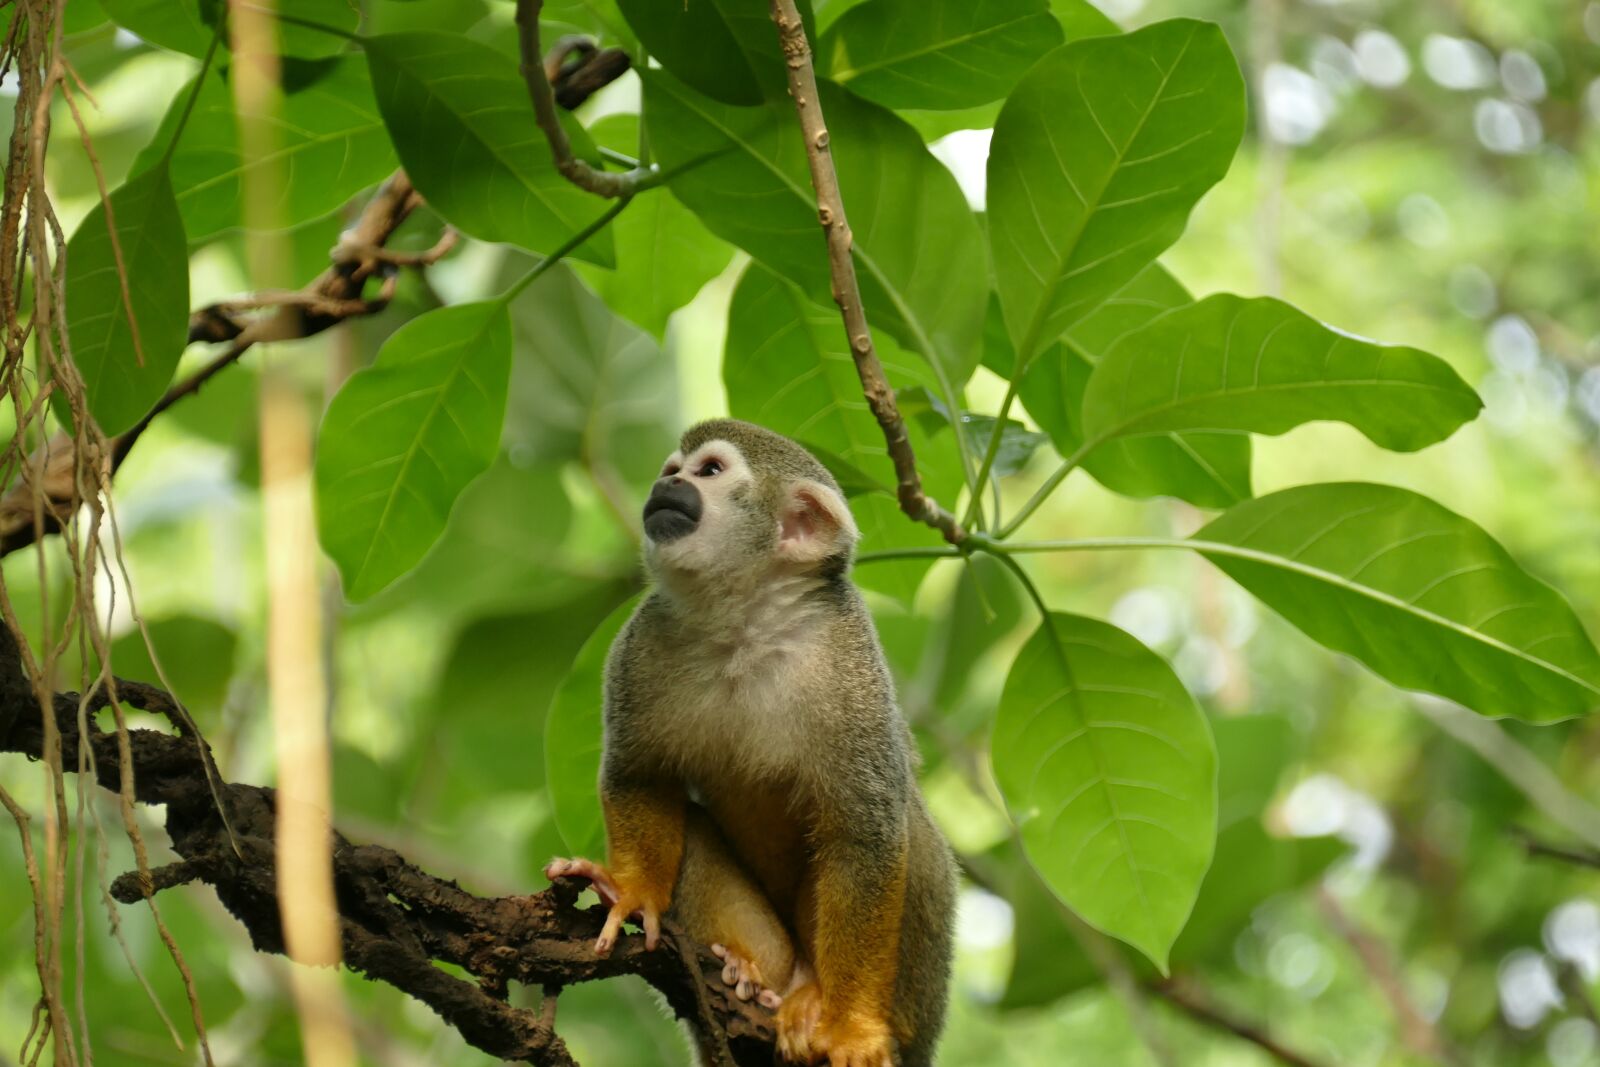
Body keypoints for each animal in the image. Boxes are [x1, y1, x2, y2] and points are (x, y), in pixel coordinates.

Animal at [544, 418, 957, 1067]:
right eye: (672, 470)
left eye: (709, 471)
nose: (668, 486)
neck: (747, 622)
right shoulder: (642, 643)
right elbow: (640, 776)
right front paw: (632, 892)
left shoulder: (850, 660)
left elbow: (865, 834)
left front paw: (854, 1028)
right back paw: (752, 974)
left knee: (908, 829)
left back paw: (824, 1003)